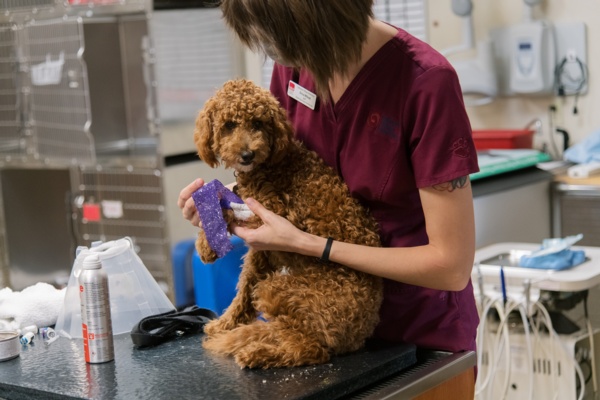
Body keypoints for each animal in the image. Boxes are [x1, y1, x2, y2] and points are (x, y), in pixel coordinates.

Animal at [195, 78, 382, 368]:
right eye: (229, 125)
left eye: (258, 123)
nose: (247, 154)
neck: (271, 164)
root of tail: (362, 330)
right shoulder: (261, 252)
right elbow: (244, 289)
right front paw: (226, 323)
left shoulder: (274, 216)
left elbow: (228, 206)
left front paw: (206, 242)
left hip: (283, 291)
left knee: (310, 348)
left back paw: (258, 353)